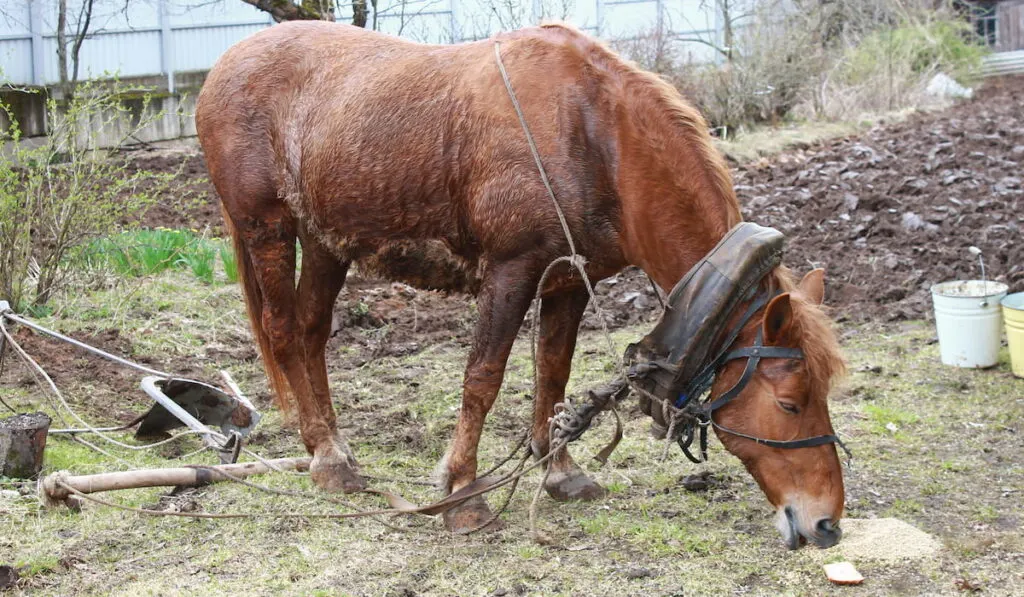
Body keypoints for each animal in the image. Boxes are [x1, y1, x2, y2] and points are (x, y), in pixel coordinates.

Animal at [195, 22, 843, 544]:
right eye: (790, 402)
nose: (825, 522)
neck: (591, 133)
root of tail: (226, 63)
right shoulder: (511, 271)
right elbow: (483, 378)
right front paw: (462, 493)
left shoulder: (570, 283)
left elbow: (552, 371)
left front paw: (560, 470)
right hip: (269, 228)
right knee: (283, 331)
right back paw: (328, 459)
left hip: (327, 240)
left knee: (311, 333)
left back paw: (330, 452)